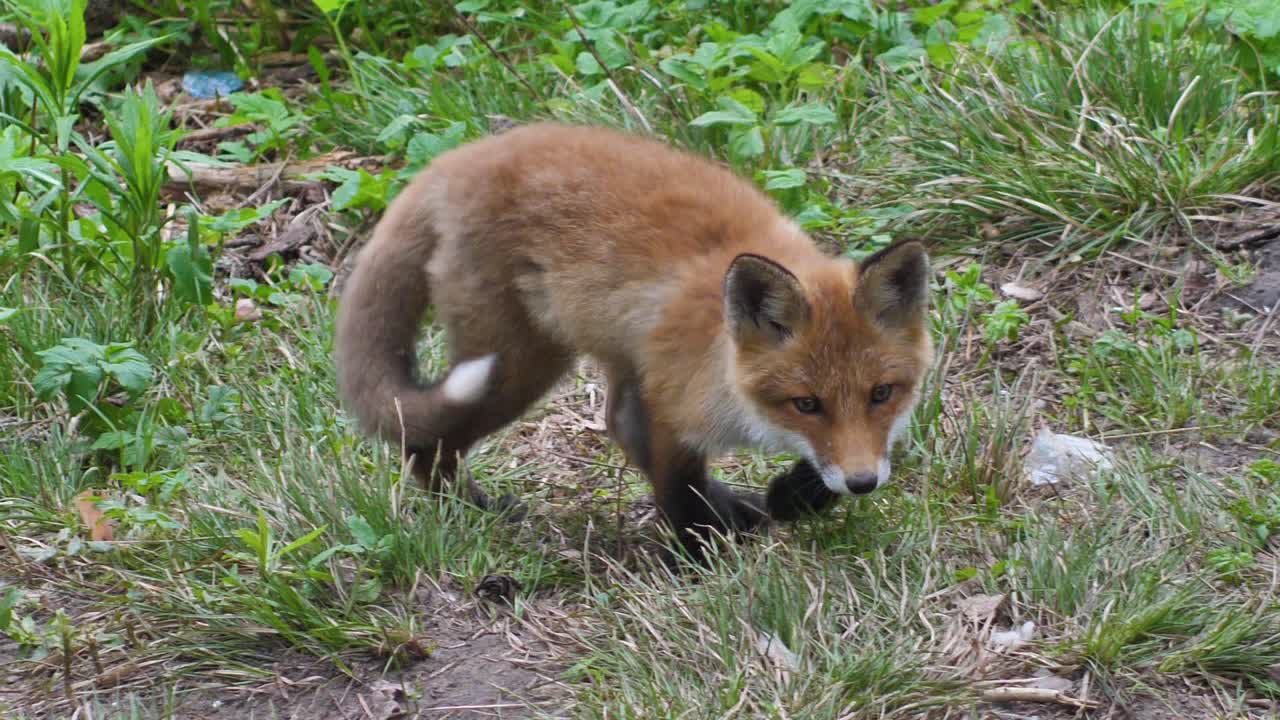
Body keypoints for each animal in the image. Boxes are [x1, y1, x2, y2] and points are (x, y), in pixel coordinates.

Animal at [333, 122, 934, 561]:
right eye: (806, 403)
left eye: (882, 394)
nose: (862, 484)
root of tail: (458, 158)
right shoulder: (671, 404)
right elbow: (677, 491)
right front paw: (697, 560)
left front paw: (790, 498)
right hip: (516, 365)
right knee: (424, 443)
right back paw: (472, 511)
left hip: (606, 352)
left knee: (615, 421)